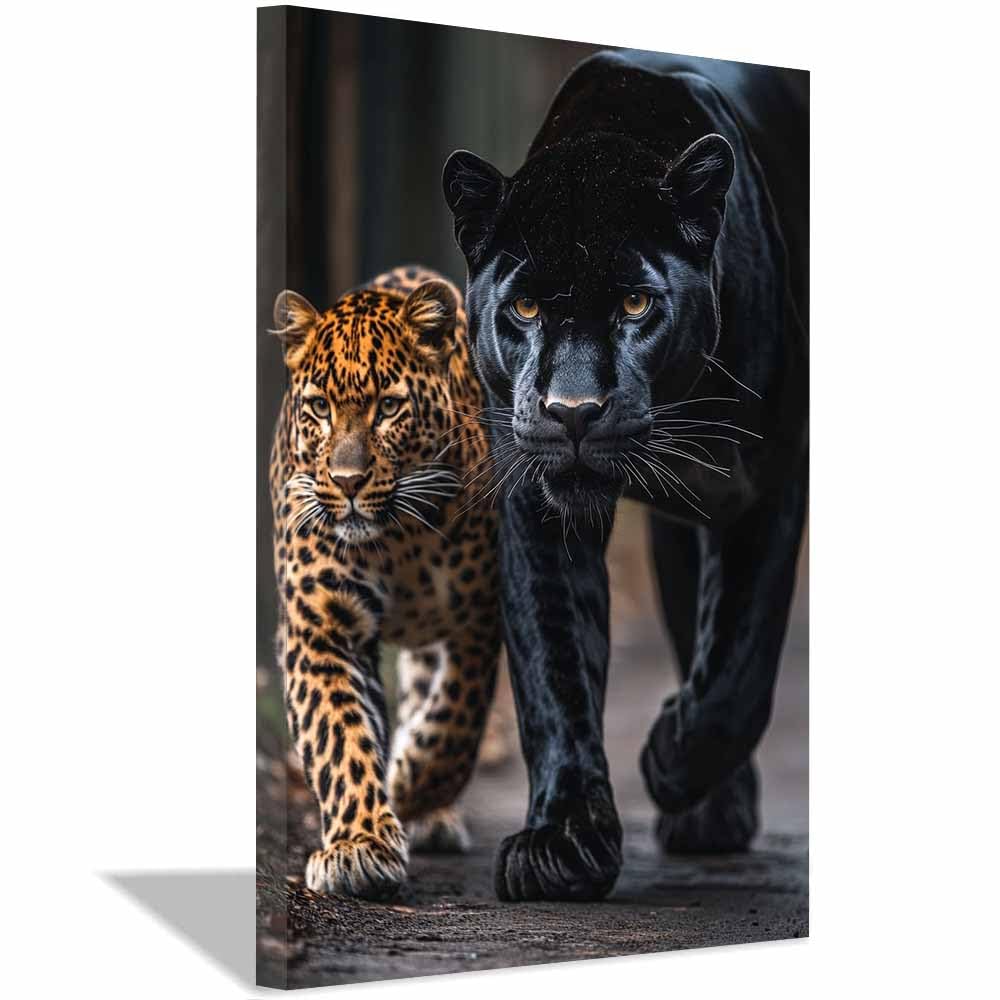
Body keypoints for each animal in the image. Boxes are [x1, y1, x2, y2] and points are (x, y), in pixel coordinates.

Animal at [269, 265, 501, 900]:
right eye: (319, 407)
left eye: (390, 407)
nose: (347, 481)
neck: (399, 540)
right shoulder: (319, 625)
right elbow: (338, 734)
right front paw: (359, 845)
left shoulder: (482, 616)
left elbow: (456, 722)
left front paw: (412, 783)